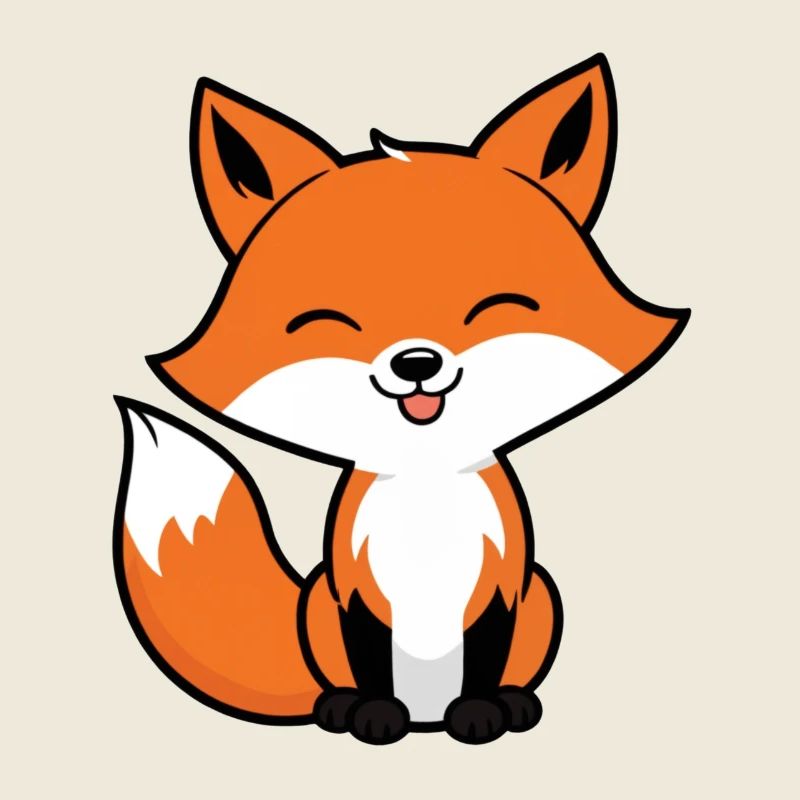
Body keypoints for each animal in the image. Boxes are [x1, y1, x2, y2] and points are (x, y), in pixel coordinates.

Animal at [113, 53, 689, 745]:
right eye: (330, 322)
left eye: (494, 308)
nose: (417, 362)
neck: (425, 486)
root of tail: (426, 720)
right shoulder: (355, 590)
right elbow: (369, 656)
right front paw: (373, 714)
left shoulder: (501, 586)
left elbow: (485, 654)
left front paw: (481, 712)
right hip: (318, 600)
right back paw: (342, 708)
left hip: (543, 594)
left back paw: (508, 704)